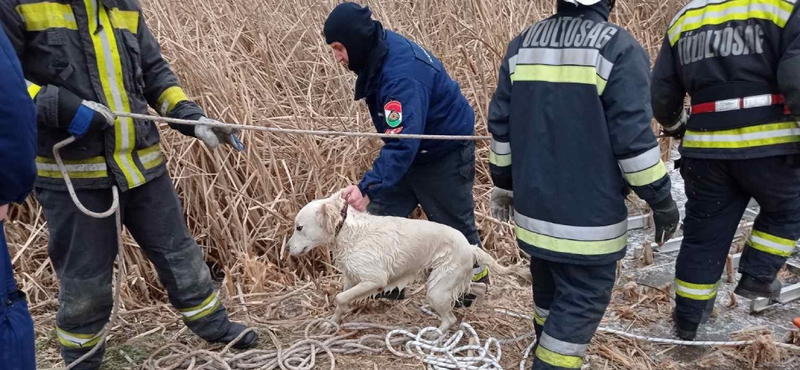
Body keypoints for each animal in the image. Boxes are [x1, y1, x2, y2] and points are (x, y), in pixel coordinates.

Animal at [288, 191, 532, 332]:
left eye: (299, 227)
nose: (288, 249)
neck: (347, 232)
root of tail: (470, 247)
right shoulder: (351, 278)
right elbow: (340, 300)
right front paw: (332, 322)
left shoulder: (373, 280)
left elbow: (339, 297)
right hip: (445, 281)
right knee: (479, 288)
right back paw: (478, 310)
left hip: (437, 289)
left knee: (450, 320)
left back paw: (433, 338)